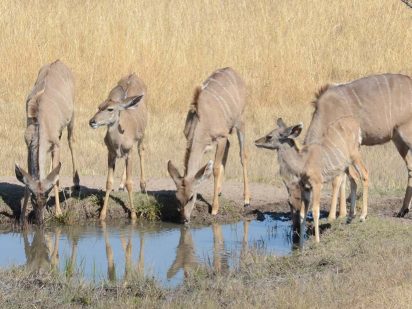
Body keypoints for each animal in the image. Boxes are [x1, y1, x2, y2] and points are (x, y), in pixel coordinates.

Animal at [14, 59, 79, 224]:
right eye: (33, 198)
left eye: (46, 197)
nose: (39, 221)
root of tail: (59, 61)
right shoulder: (29, 145)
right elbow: (28, 179)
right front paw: (22, 217)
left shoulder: (56, 145)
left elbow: (56, 179)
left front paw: (58, 213)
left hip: (72, 117)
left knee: (71, 141)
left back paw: (77, 183)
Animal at [89, 73, 148, 220]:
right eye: (99, 106)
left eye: (110, 109)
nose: (92, 121)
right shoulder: (111, 154)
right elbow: (109, 182)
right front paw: (102, 215)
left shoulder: (129, 152)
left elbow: (130, 183)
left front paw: (133, 214)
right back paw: (121, 185)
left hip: (142, 135)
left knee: (141, 150)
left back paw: (143, 186)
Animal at [167, 67, 251, 221]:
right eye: (177, 198)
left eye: (191, 197)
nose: (184, 218)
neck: (202, 122)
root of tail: (233, 71)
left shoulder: (220, 137)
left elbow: (216, 169)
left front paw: (215, 209)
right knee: (230, 146)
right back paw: (219, 190)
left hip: (240, 121)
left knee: (243, 155)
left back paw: (246, 199)